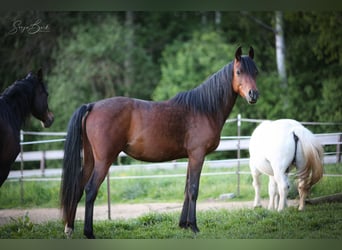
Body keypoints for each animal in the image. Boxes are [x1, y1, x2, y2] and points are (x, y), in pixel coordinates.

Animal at [60, 45, 260, 238]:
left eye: (256, 72)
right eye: (239, 71)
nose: (253, 95)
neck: (203, 110)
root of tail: (92, 106)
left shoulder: (190, 157)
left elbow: (186, 189)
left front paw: (183, 225)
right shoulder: (197, 155)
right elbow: (193, 189)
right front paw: (194, 227)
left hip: (90, 160)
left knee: (78, 187)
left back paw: (70, 229)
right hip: (103, 161)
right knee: (90, 190)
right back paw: (89, 233)